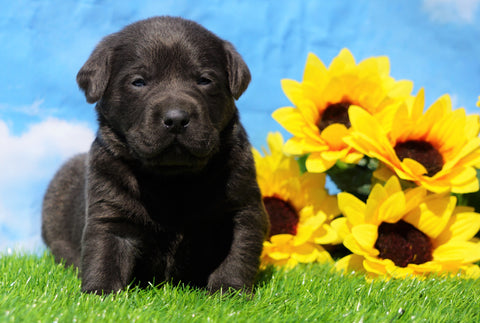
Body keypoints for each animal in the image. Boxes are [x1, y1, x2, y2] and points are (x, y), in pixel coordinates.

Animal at [41, 15, 270, 296]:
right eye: (139, 82)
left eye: (204, 80)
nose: (176, 118)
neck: (172, 181)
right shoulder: (110, 212)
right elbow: (104, 253)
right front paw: (100, 293)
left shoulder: (241, 207)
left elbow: (237, 254)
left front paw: (229, 292)